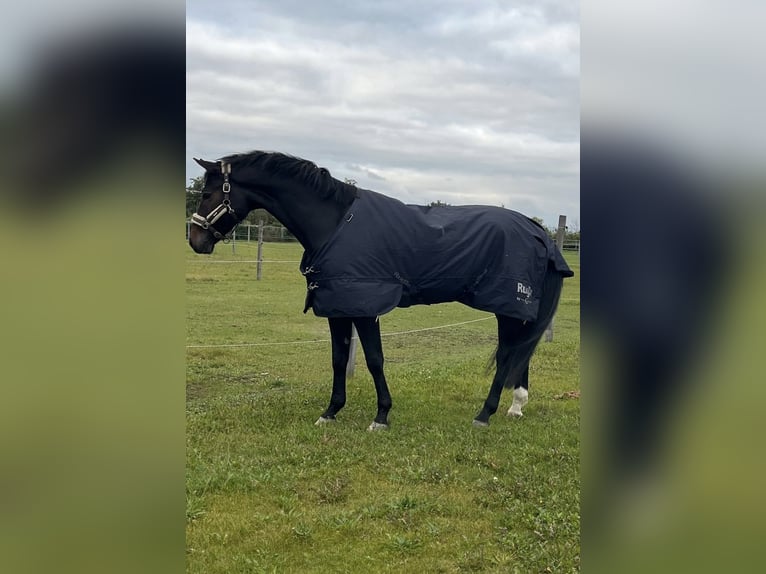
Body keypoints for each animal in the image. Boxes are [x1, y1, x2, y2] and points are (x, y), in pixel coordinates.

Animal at [188, 151, 574, 430]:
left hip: (508, 303)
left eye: (208, 193)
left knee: (509, 353)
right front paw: (330, 412)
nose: (196, 241)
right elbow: (338, 358)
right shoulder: (337, 306)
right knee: (519, 351)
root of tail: (535, 229)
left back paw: (484, 414)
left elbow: (374, 359)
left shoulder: (364, 306)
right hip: (514, 309)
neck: (334, 222)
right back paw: (515, 406)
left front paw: (381, 416)